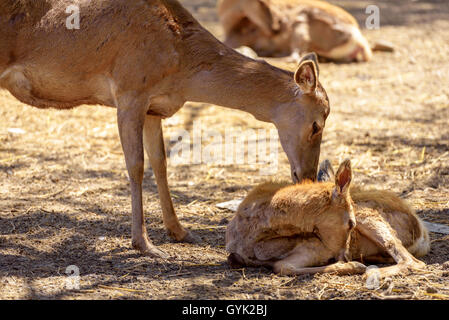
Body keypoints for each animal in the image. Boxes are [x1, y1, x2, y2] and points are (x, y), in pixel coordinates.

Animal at [0, 0, 328, 258]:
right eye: (317, 124)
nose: (307, 175)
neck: (182, 63)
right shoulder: (130, 92)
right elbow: (135, 165)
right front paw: (145, 245)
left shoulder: (154, 108)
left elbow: (160, 161)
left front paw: (180, 232)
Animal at [226, 160, 428, 278]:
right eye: (350, 223)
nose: (345, 256)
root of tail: (422, 234)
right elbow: (280, 265)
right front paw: (354, 264)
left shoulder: (316, 246)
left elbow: (282, 266)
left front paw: (355, 266)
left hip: (368, 214)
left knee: (413, 261)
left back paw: (370, 272)